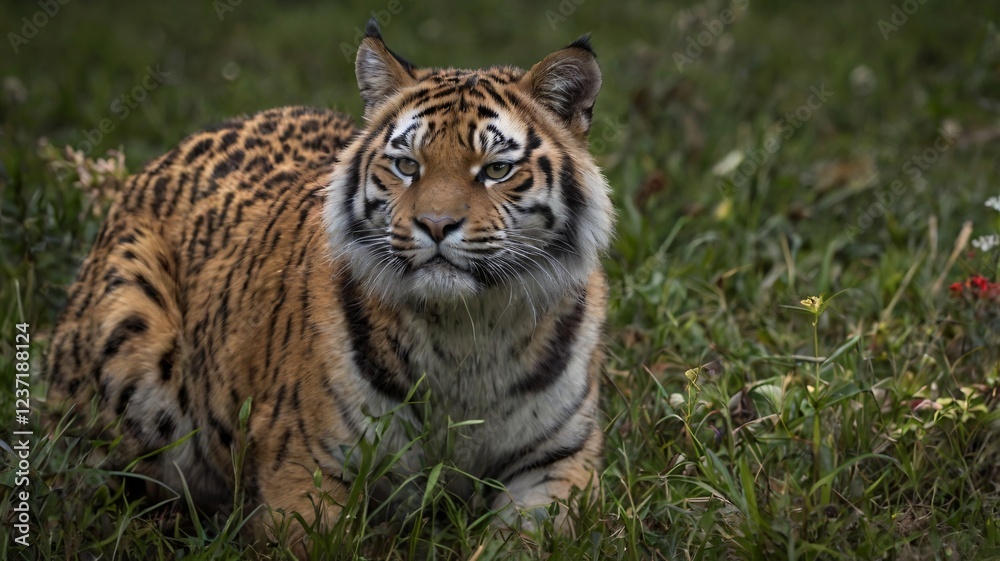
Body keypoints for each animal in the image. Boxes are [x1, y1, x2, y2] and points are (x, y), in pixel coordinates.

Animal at [45, 18, 615, 554]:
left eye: (496, 169)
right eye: (407, 165)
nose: (435, 224)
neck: (467, 333)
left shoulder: (555, 464)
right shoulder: (308, 464)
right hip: (129, 336)